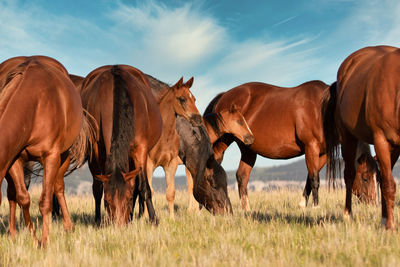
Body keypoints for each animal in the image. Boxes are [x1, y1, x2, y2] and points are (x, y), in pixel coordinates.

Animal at [0, 56, 90, 247]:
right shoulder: (14, 160)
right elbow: (23, 198)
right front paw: (34, 239)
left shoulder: (51, 157)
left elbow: (45, 202)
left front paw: (45, 241)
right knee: (12, 194)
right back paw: (12, 234)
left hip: (64, 156)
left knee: (58, 187)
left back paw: (68, 227)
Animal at [324, 45, 400, 229]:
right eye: (364, 179)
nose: (372, 202)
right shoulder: (381, 140)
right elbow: (388, 184)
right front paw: (391, 227)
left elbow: (384, 180)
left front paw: (386, 222)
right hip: (348, 137)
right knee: (349, 174)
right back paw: (347, 215)